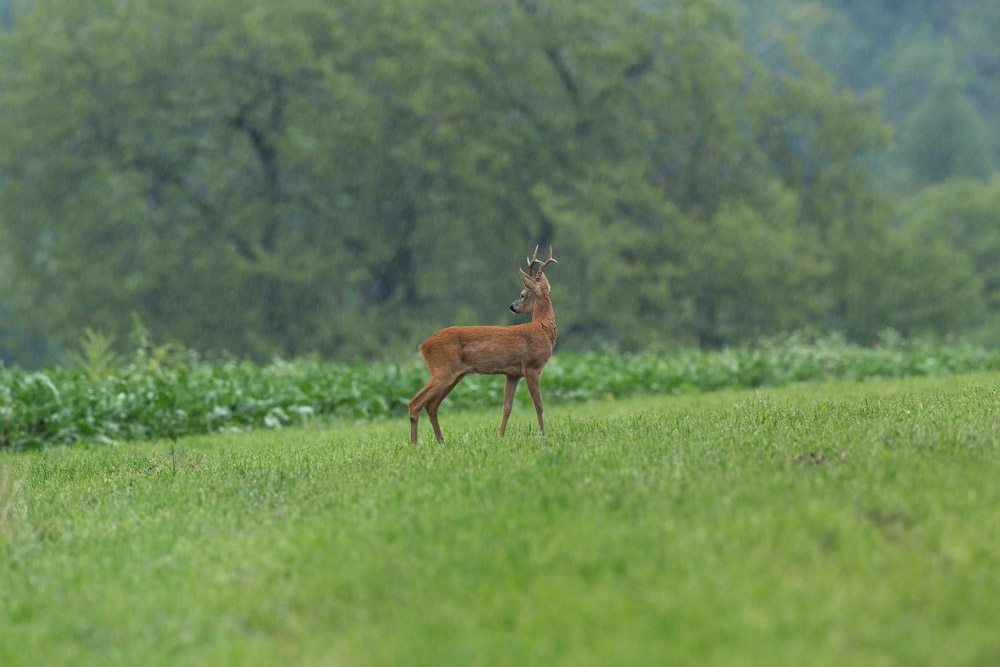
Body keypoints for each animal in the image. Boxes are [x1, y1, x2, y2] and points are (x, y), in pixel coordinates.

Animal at [409, 245, 558, 444]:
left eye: (522, 295)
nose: (512, 306)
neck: (543, 328)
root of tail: (423, 345)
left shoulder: (513, 374)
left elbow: (507, 407)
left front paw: (500, 436)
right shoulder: (532, 366)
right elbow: (539, 404)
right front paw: (544, 436)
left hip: (454, 375)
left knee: (431, 405)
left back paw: (441, 442)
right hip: (443, 370)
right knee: (415, 402)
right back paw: (414, 444)